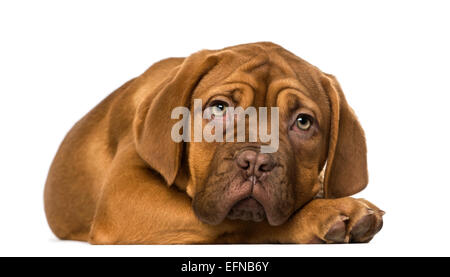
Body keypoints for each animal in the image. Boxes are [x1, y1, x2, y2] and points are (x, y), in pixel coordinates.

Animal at [44, 41, 384, 244]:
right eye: (219, 108)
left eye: (303, 122)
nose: (256, 162)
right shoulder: (123, 197)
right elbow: (252, 225)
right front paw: (322, 213)